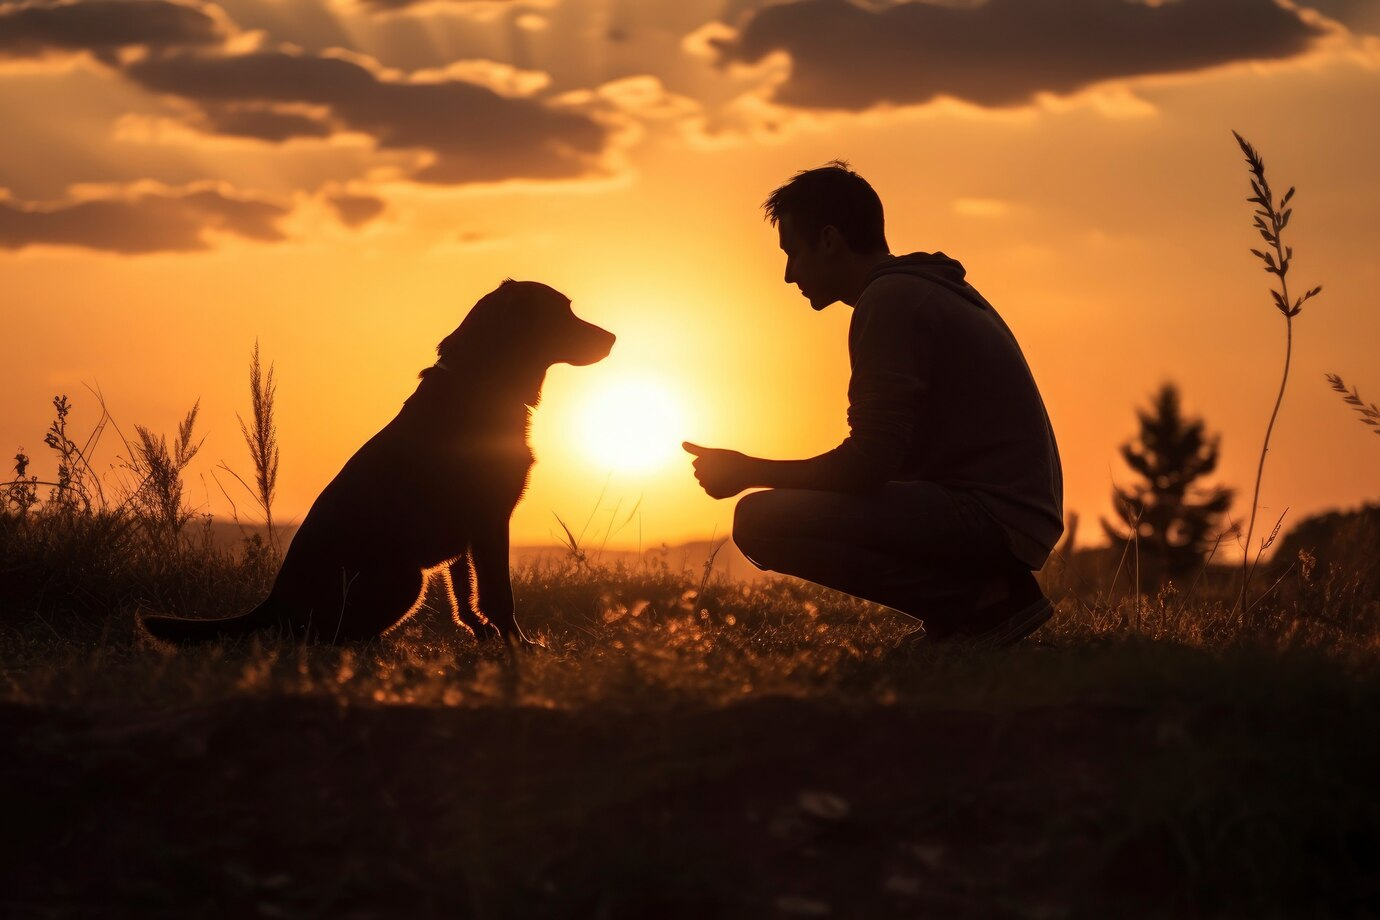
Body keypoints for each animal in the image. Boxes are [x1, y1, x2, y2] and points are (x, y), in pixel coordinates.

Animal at [142, 281, 612, 648]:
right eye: (563, 313)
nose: (612, 339)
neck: (479, 384)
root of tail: (272, 603)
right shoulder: (489, 521)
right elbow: (499, 593)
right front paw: (519, 645)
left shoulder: (466, 536)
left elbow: (464, 592)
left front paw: (482, 636)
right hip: (406, 578)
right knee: (328, 638)